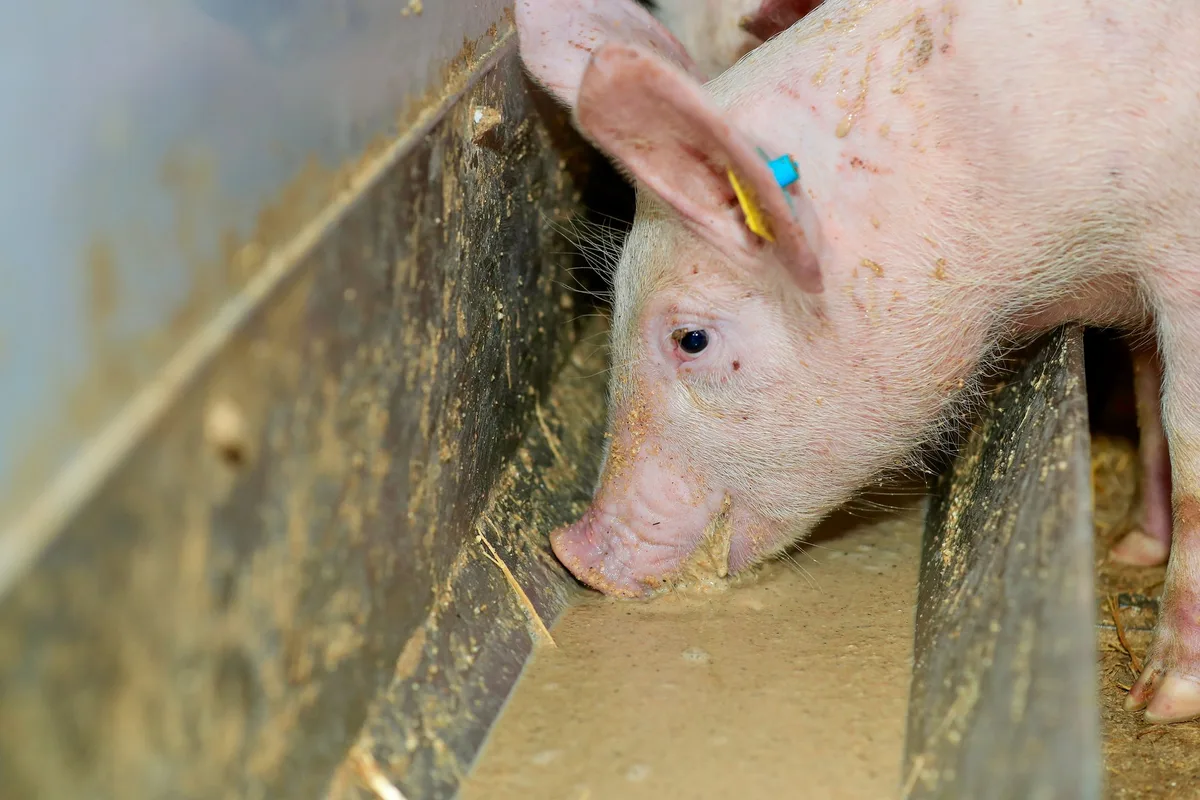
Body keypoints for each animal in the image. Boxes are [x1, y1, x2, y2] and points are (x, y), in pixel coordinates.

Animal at [516, 0, 1200, 723]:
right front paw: (1135, 546)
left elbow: (1186, 444)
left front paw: (1160, 701)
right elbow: (1148, 393)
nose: (571, 551)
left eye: (691, 339)